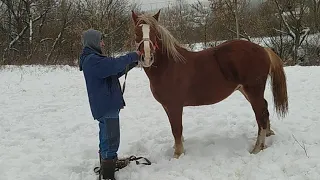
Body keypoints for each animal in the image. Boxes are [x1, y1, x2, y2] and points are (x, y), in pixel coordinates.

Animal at [131, 10, 288, 158]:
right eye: (136, 32)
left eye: (155, 33)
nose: (147, 57)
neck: (169, 66)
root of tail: (263, 49)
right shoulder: (167, 107)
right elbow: (175, 129)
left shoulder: (175, 106)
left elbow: (176, 129)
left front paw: (178, 154)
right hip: (246, 91)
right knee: (265, 109)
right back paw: (268, 134)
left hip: (253, 91)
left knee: (260, 115)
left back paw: (257, 149)